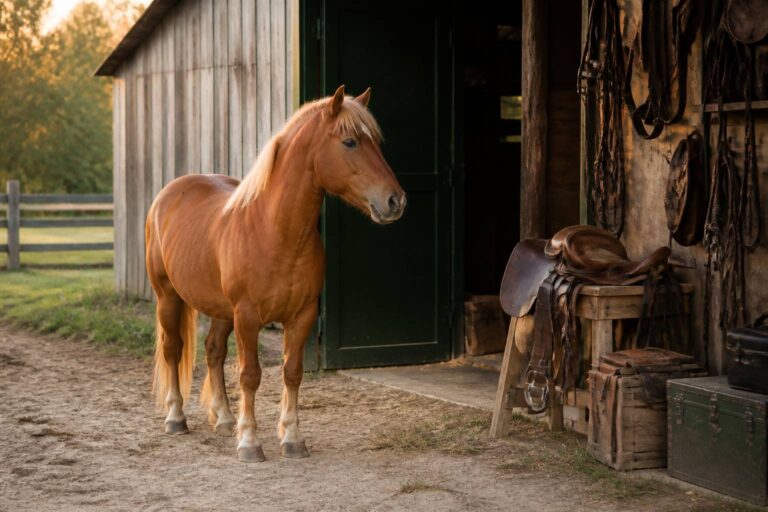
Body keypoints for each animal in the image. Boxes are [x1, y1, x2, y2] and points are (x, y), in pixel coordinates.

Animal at [146, 85, 406, 462]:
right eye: (350, 142)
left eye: (375, 142)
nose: (395, 201)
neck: (275, 233)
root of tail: (168, 194)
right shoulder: (248, 317)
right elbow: (250, 375)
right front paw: (249, 442)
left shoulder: (302, 316)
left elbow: (292, 373)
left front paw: (292, 439)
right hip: (168, 296)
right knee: (173, 348)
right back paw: (176, 418)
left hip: (221, 309)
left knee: (213, 351)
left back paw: (224, 419)